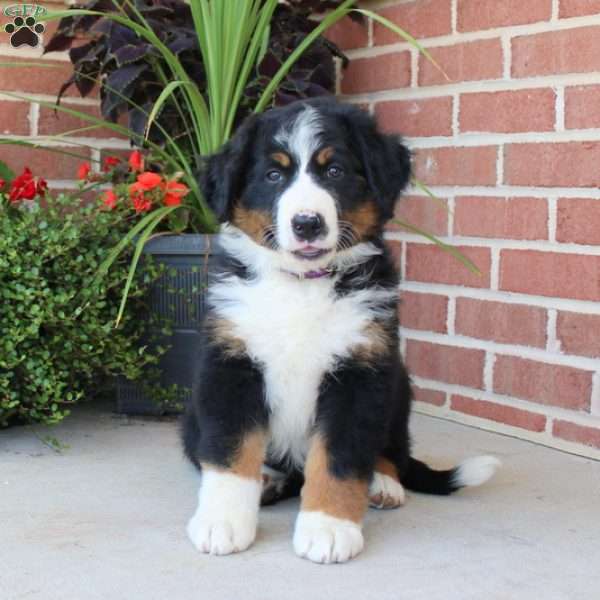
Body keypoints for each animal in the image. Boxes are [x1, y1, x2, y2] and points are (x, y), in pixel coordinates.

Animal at [180, 97, 500, 564]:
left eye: (334, 171)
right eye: (273, 175)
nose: (307, 223)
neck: (301, 284)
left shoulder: (360, 370)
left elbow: (339, 458)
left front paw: (328, 528)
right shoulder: (230, 365)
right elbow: (229, 450)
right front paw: (222, 522)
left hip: (398, 385)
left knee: (392, 451)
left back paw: (383, 484)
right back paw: (268, 480)